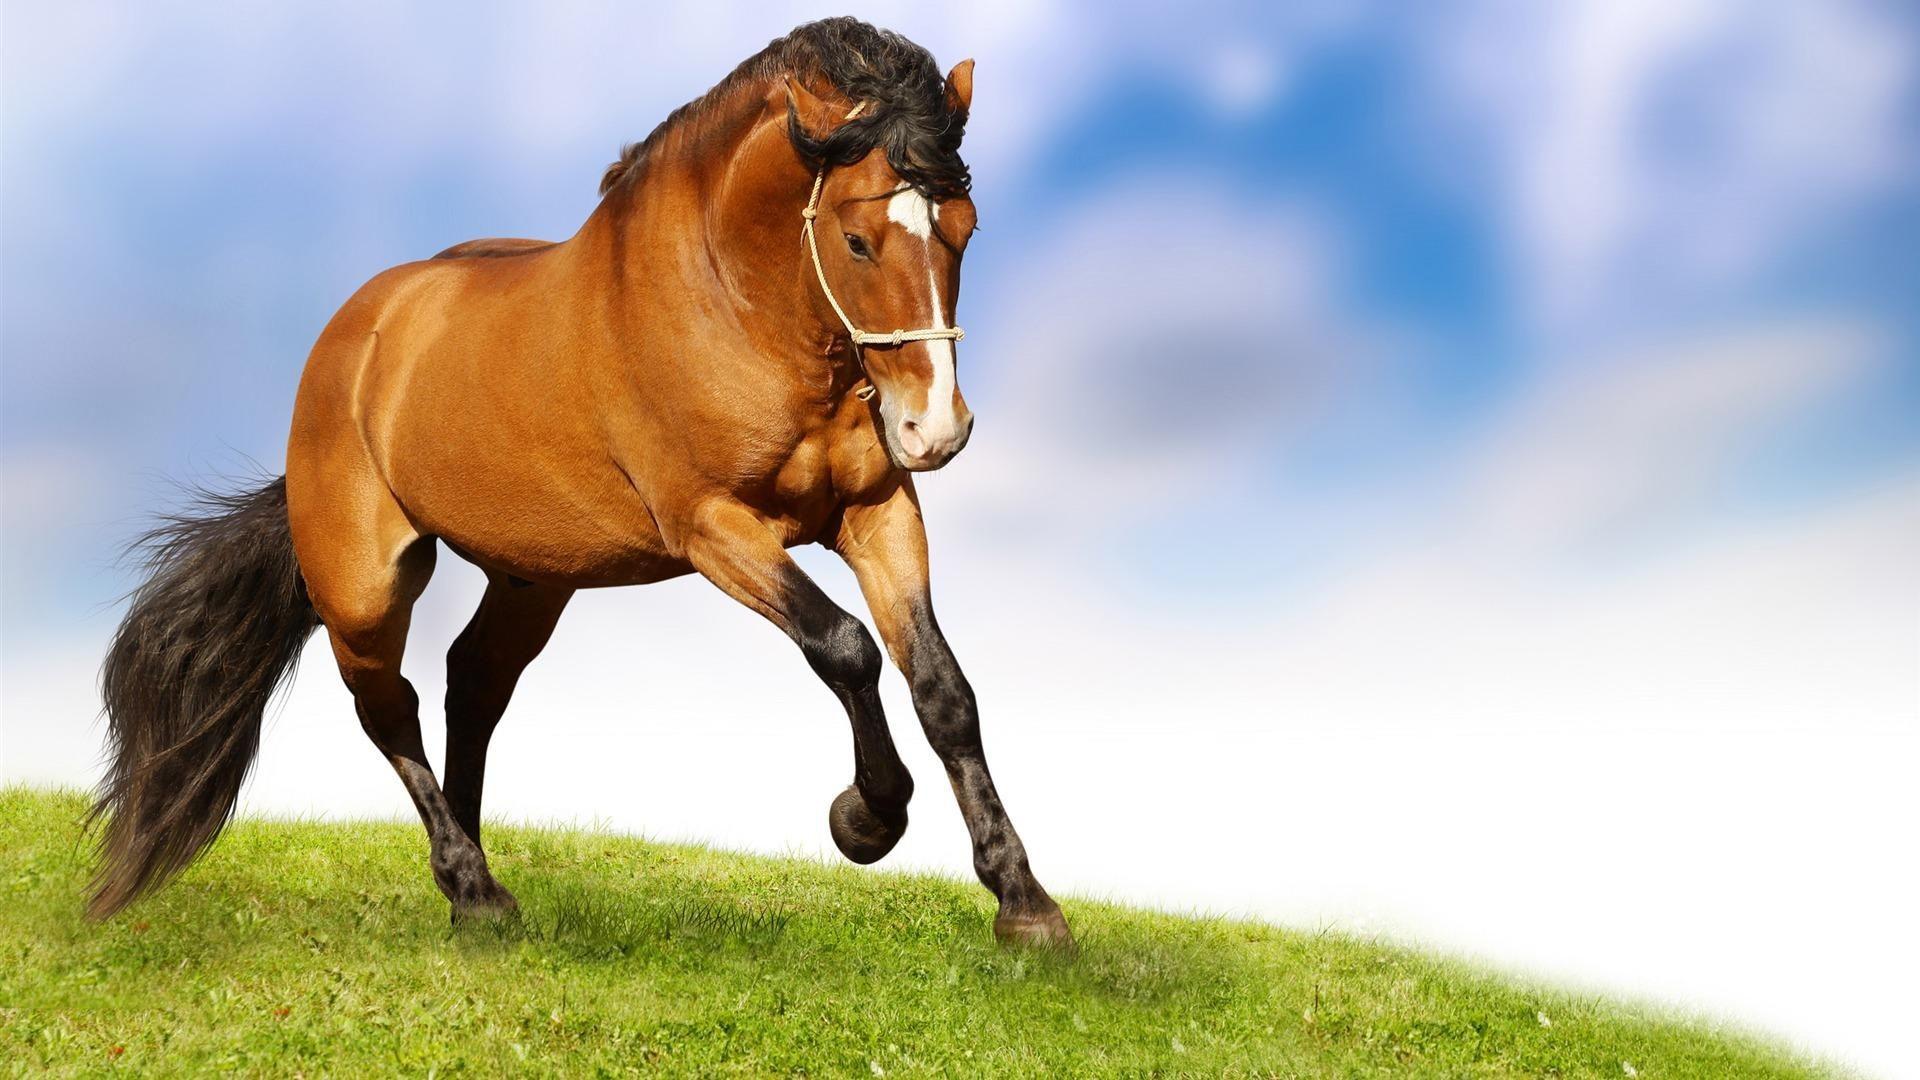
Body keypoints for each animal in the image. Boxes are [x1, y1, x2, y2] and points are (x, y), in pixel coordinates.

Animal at [89, 17, 1072, 950]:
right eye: (859, 240)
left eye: (965, 229)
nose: (935, 430)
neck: (736, 307)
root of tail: (353, 336)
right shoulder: (714, 527)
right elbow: (845, 647)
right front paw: (865, 819)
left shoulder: (876, 513)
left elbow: (943, 688)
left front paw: (1026, 907)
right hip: (364, 586)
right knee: (388, 708)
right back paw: (475, 891)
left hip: (532, 576)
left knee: (472, 685)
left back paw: (470, 888)